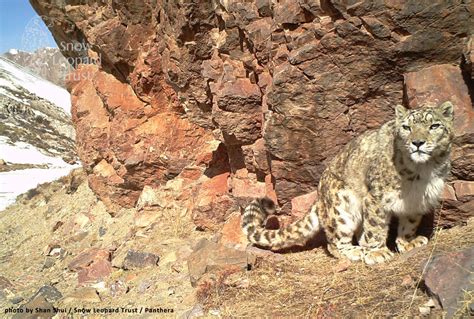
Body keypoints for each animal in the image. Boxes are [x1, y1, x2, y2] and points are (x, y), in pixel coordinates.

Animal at [243, 102, 454, 264]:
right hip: (342, 207)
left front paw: (408, 242)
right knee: (335, 242)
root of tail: (320, 194)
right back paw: (356, 251)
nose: (417, 142)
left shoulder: (417, 199)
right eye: (406, 127)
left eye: (434, 126)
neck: (422, 172)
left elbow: (409, 223)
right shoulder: (376, 197)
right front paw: (377, 252)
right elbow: (376, 227)